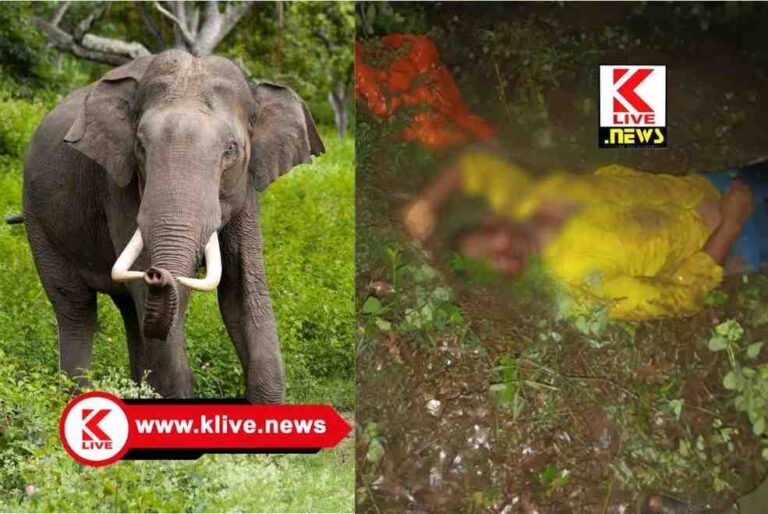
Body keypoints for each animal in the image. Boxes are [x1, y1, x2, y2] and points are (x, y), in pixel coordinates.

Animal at [21, 49, 324, 402]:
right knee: (75, 307)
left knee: (129, 311)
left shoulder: (248, 187)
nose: (157, 273)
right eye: (140, 146)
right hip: (38, 221)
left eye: (231, 149)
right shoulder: (118, 186)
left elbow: (242, 291)